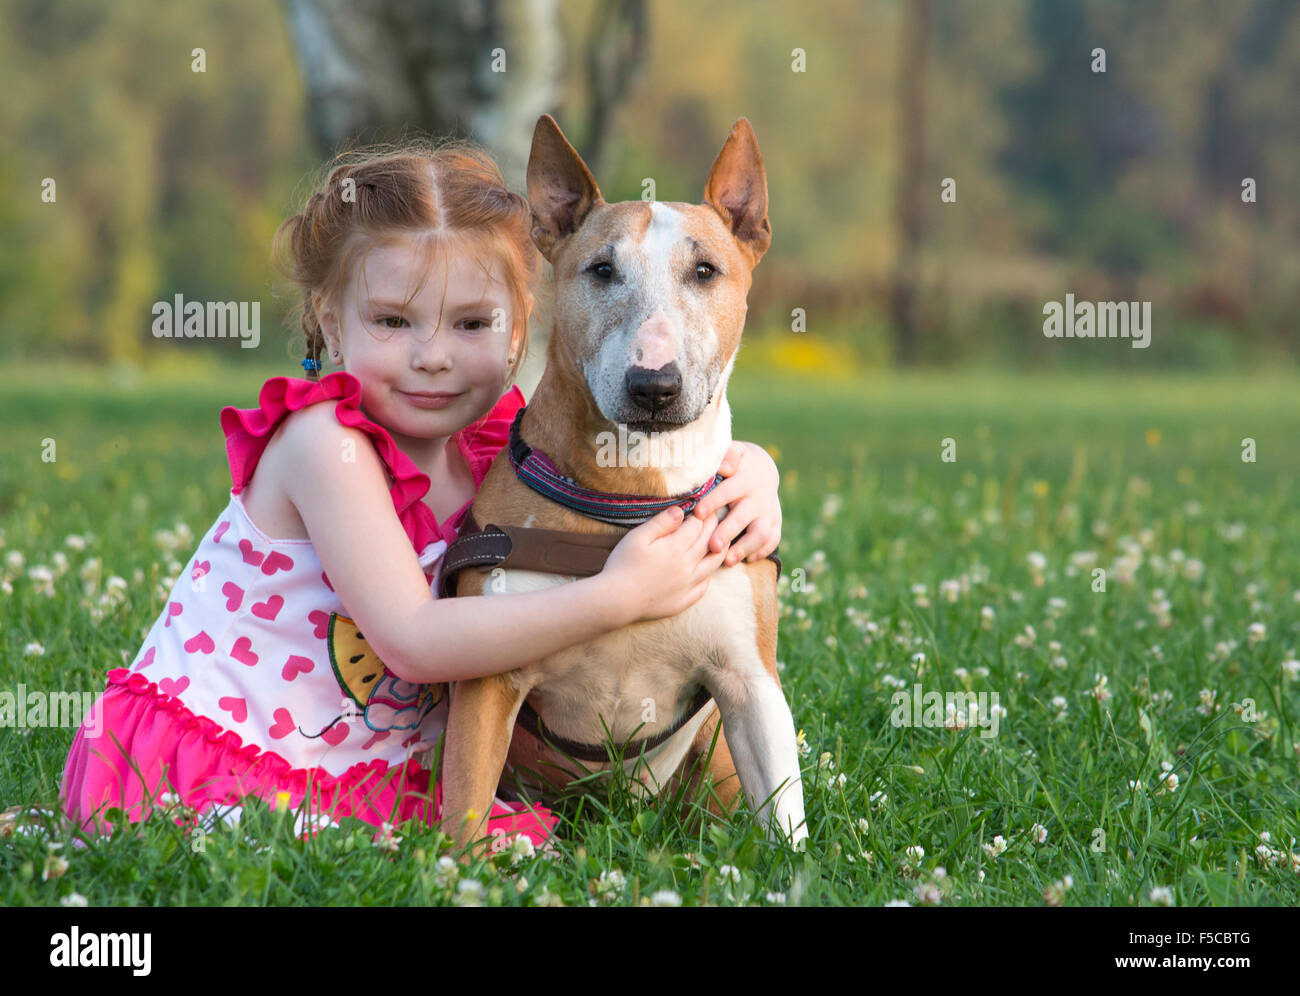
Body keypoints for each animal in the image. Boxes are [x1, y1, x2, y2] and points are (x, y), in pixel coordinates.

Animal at [436, 115, 800, 852]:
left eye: (705, 270)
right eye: (602, 270)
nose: (653, 386)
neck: (630, 492)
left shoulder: (749, 682)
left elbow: (786, 819)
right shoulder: (488, 679)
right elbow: (463, 805)